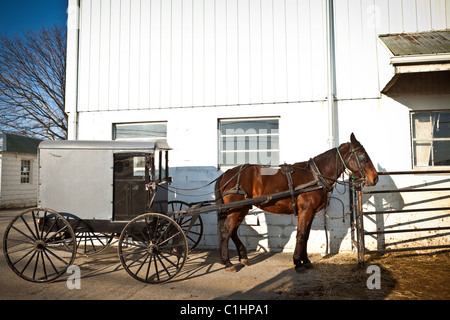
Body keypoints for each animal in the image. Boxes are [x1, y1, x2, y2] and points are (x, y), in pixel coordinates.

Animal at [216, 132, 378, 272]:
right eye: (363, 156)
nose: (375, 178)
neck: (315, 175)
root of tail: (226, 174)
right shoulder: (305, 211)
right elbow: (300, 235)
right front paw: (297, 262)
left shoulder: (311, 213)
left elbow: (306, 236)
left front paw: (305, 261)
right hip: (236, 209)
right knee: (226, 231)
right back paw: (228, 263)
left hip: (241, 208)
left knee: (233, 231)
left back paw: (242, 257)